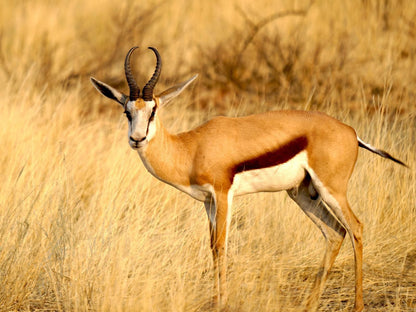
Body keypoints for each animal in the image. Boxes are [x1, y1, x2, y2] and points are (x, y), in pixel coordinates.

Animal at [91, 46, 406, 312]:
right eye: (127, 111)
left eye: (153, 111)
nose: (137, 139)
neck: (191, 148)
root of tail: (351, 131)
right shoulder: (208, 202)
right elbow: (212, 248)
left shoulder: (223, 195)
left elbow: (221, 246)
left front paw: (221, 304)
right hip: (302, 194)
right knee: (335, 233)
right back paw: (310, 304)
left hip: (332, 190)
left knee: (356, 228)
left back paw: (357, 306)